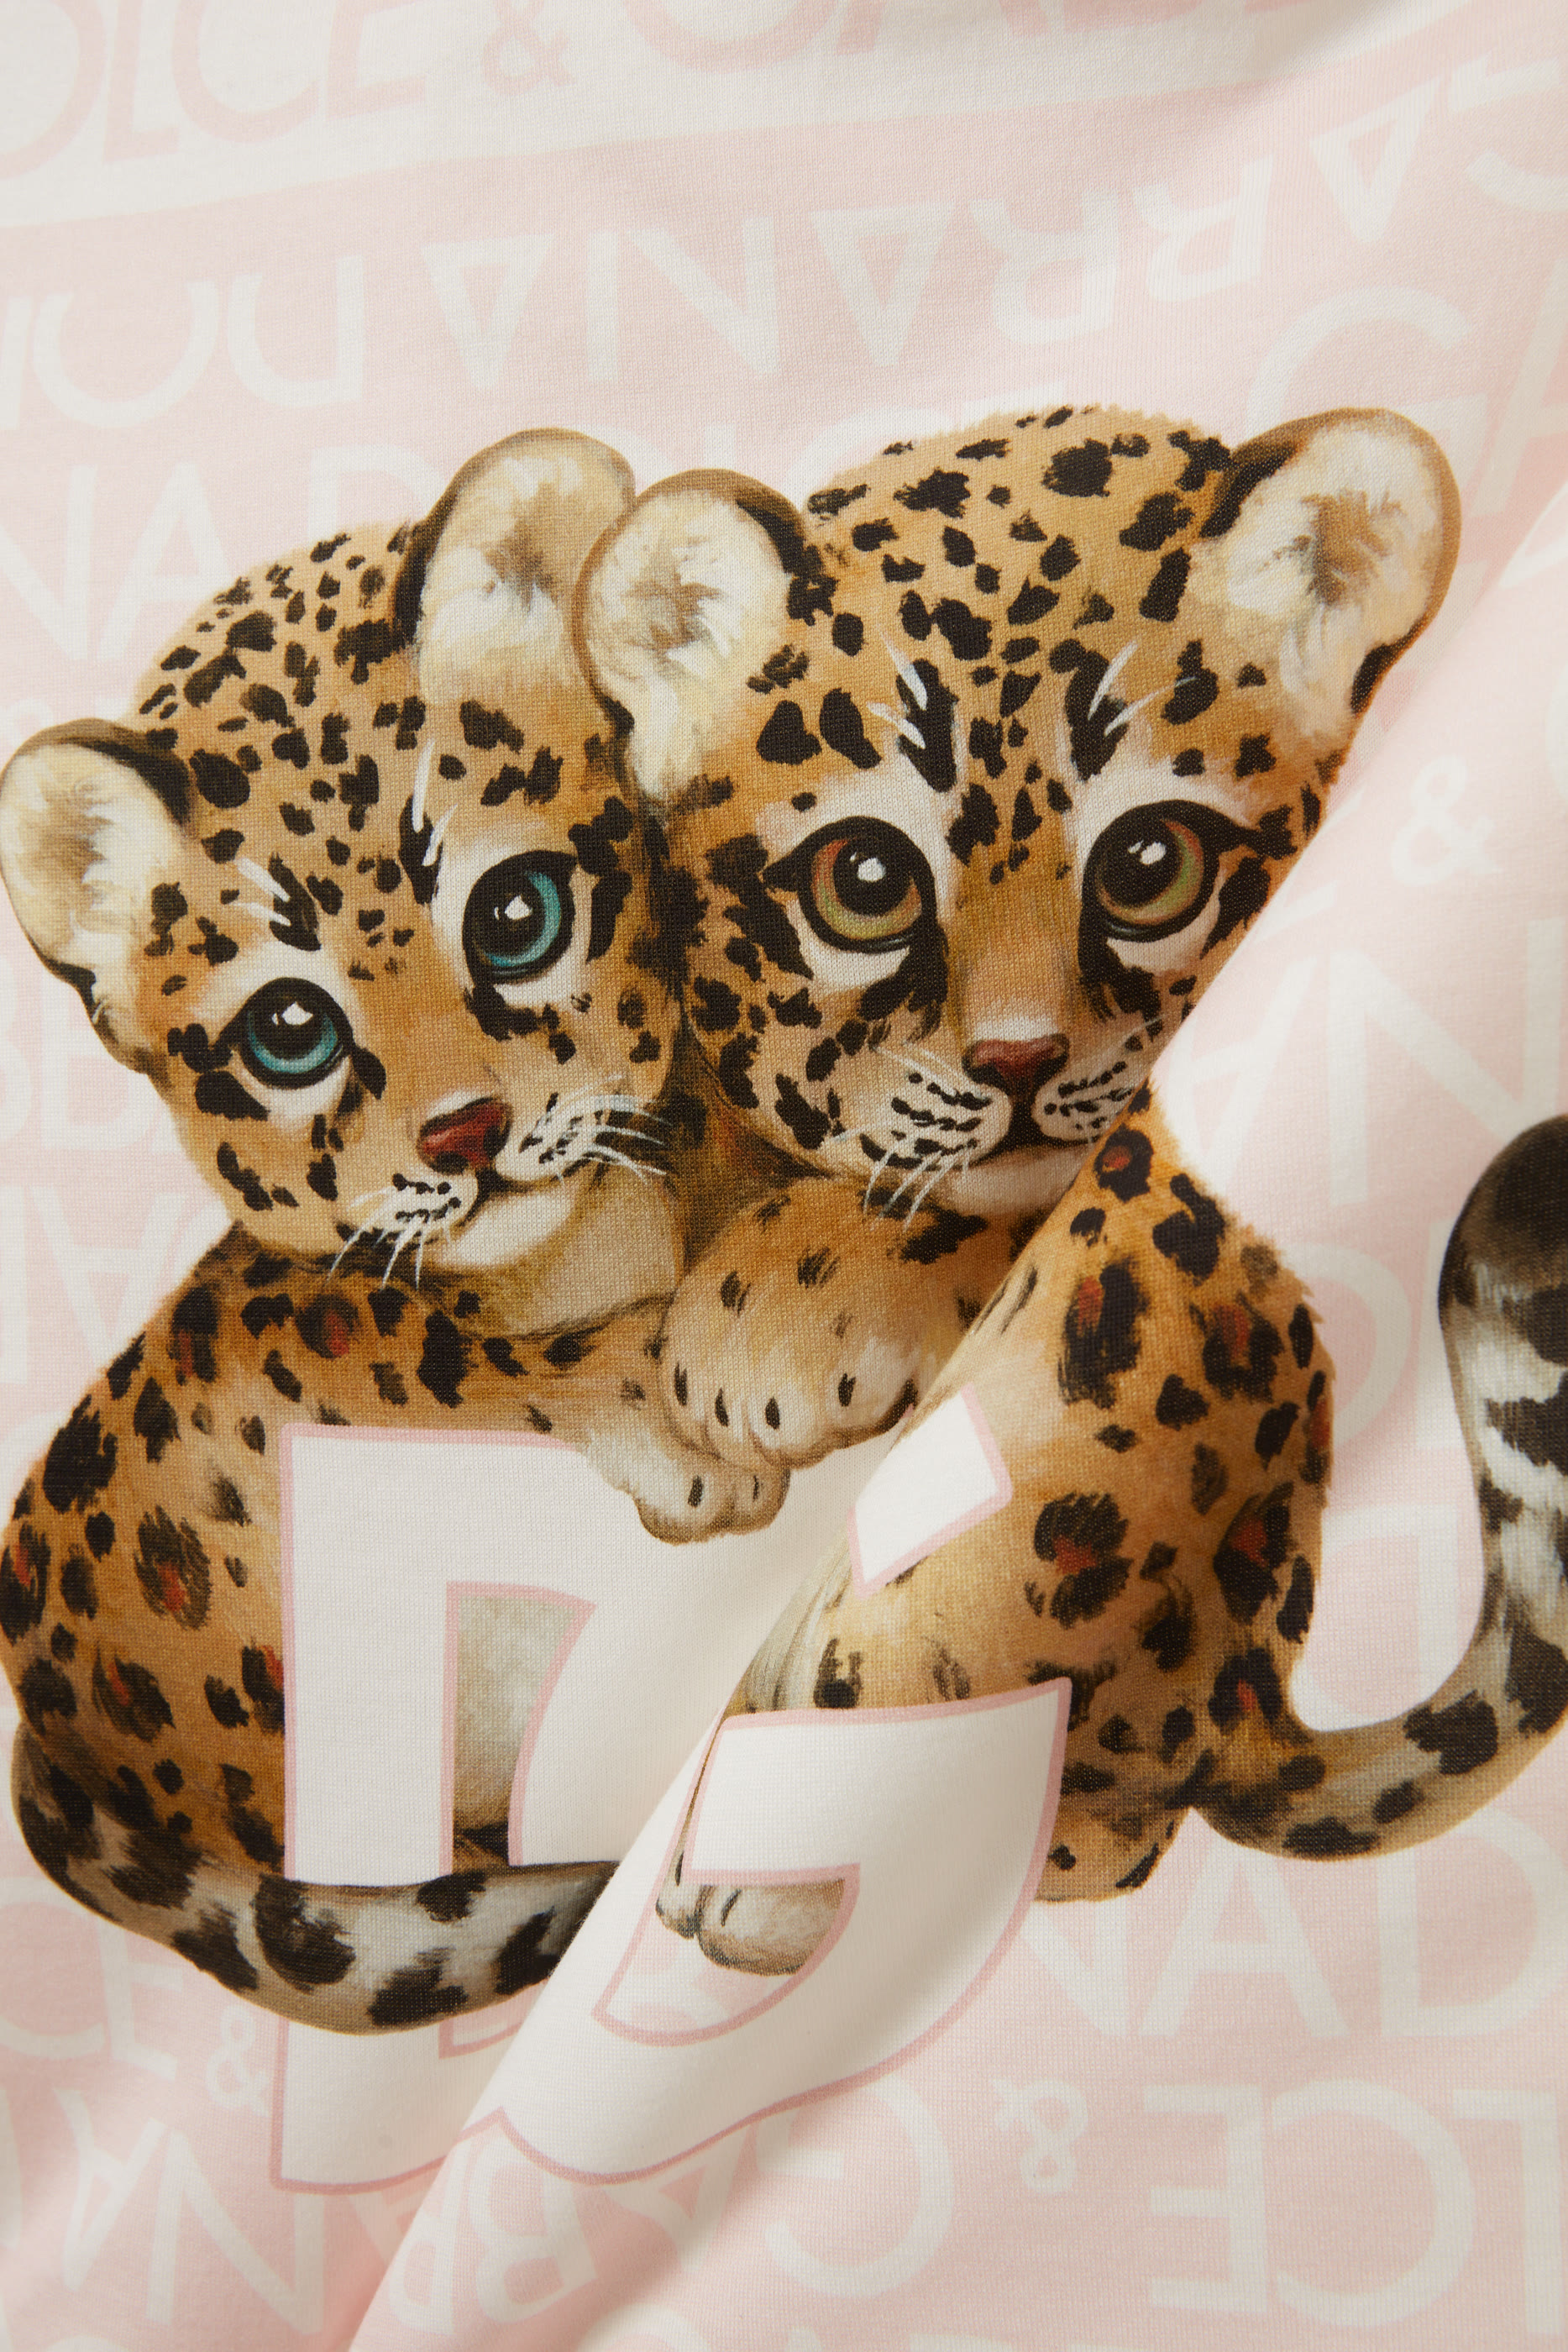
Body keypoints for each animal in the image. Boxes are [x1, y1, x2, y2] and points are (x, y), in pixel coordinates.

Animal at [0, 430, 783, 2033]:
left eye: (518, 913)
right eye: (290, 1031)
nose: (465, 1138)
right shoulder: (305, 1315)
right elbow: (391, 1326)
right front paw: (667, 1416)